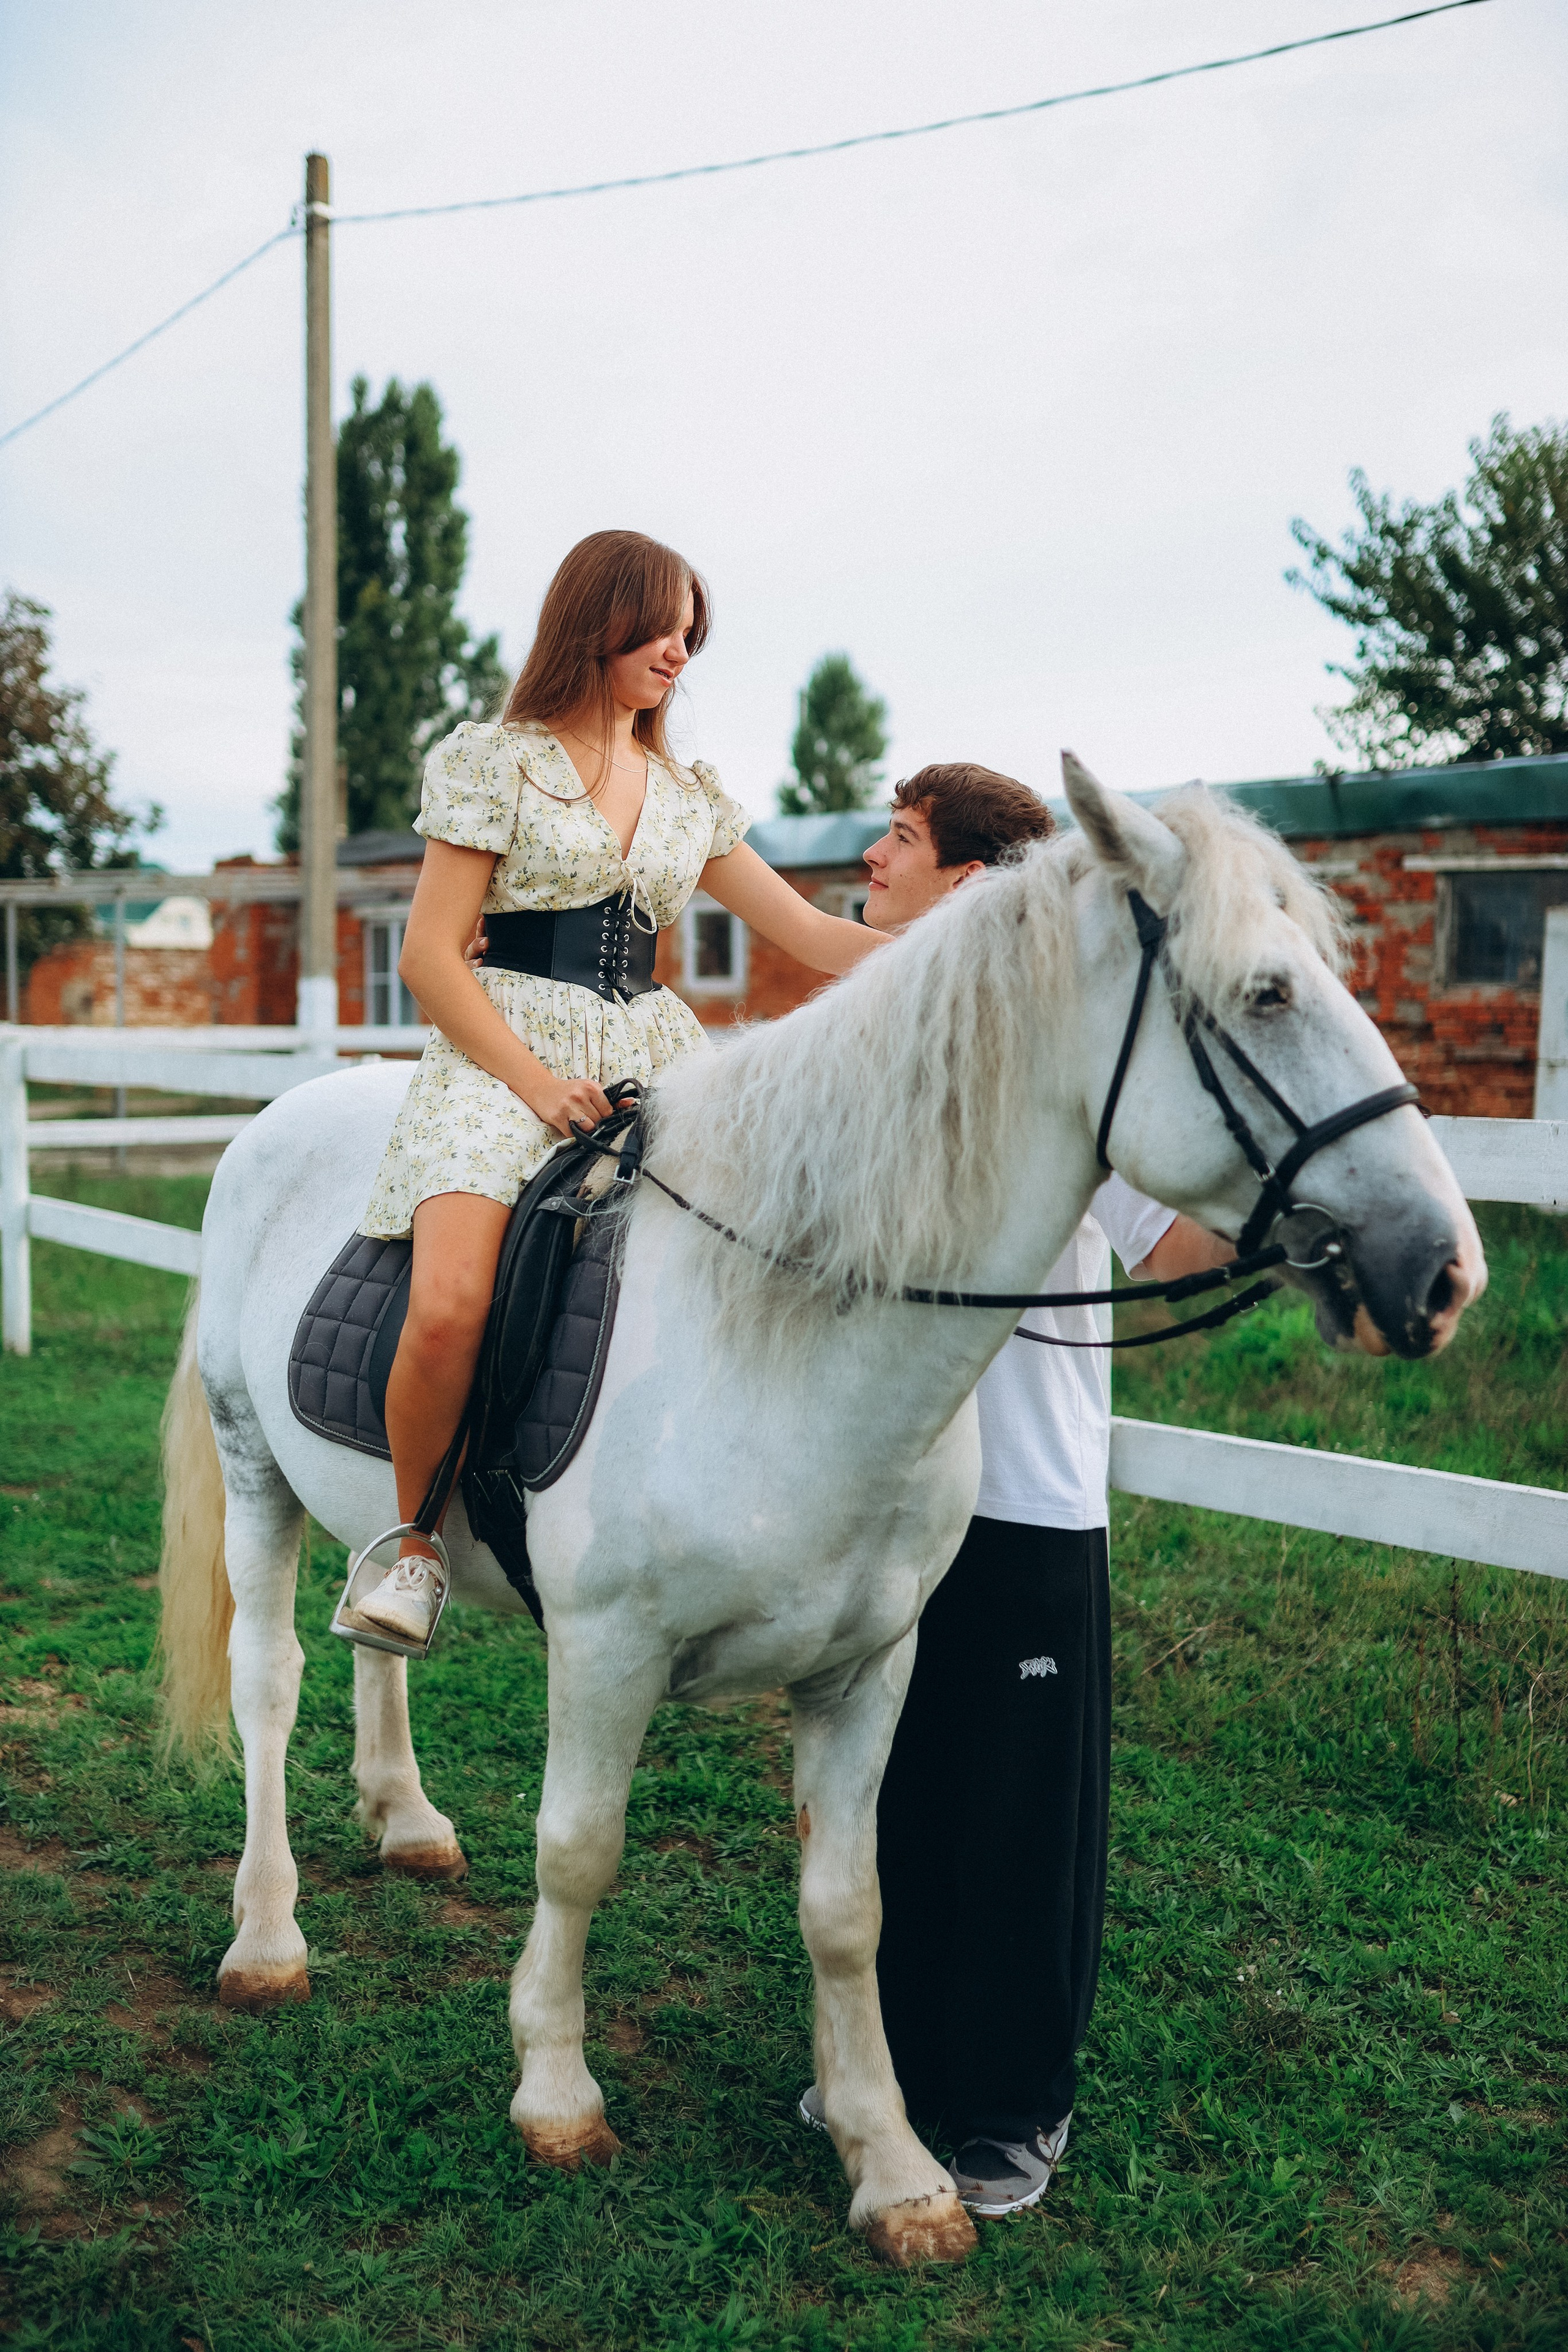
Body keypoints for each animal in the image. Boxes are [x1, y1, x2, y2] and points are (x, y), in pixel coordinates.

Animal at [157, 760, 1483, 2266]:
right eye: (1265, 994)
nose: (1445, 1272)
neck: (784, 1332)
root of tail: (277, 1122)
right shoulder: (607, 1654)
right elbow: (579, 1853)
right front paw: (555, 2093)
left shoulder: (868, 1669)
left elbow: (851, 1910)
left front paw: (893, 2165)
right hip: (255, 1469)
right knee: (270, 1682)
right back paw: (267, 1941)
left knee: (379, 1630)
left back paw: (406, 1816)